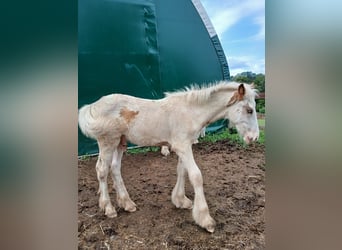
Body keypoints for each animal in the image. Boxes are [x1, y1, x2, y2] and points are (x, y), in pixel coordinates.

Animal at [78, 81, 260, 232]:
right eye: (249, 110)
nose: (254, 138)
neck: (190, 112)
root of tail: (93, 105)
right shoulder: (183, 146)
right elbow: (196, 176)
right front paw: (205, 219)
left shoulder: (183, 146)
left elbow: (182, 171)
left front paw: (180, 200)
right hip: (108, 142)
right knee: (102, 170)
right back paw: (108, 208)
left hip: (120, 143)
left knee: (115, 168)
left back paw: (127, 203)